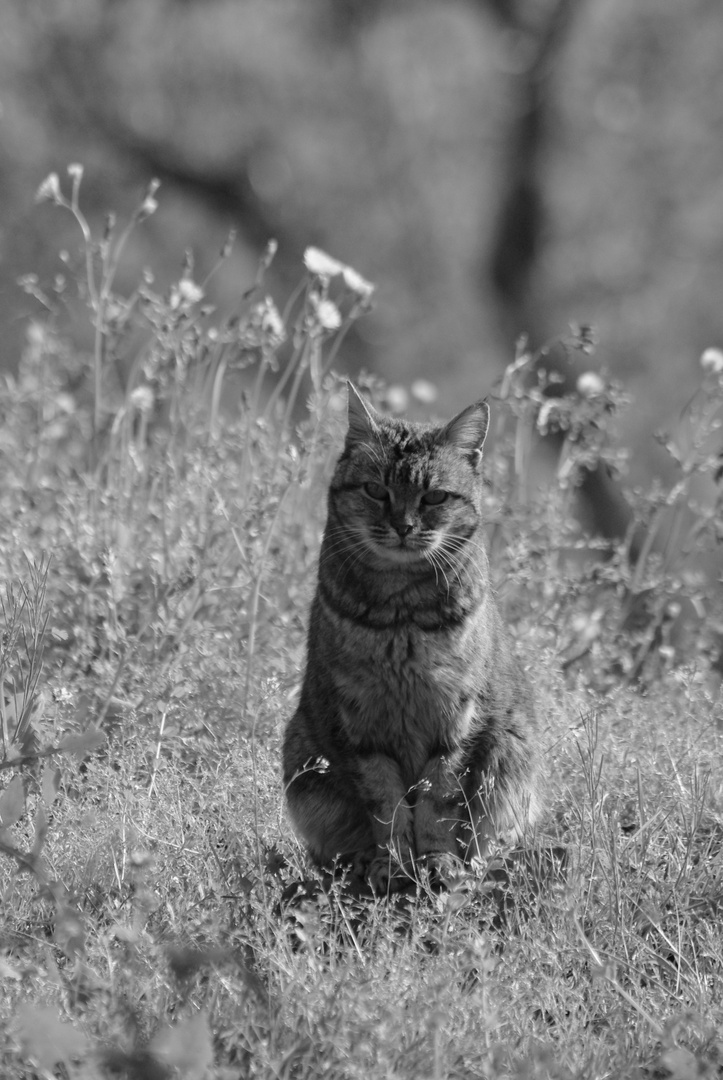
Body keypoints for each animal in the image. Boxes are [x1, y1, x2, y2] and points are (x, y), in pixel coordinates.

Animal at [280, 384, 540, 889]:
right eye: (375, 490)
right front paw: (394, 863)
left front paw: (435, 860)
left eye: (434, 497)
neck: (400, 617)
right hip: (303, 755)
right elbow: (386, 804)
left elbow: (438, 799)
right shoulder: (361, 723)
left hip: (512, 752)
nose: (403, 527)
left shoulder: (456, 718)